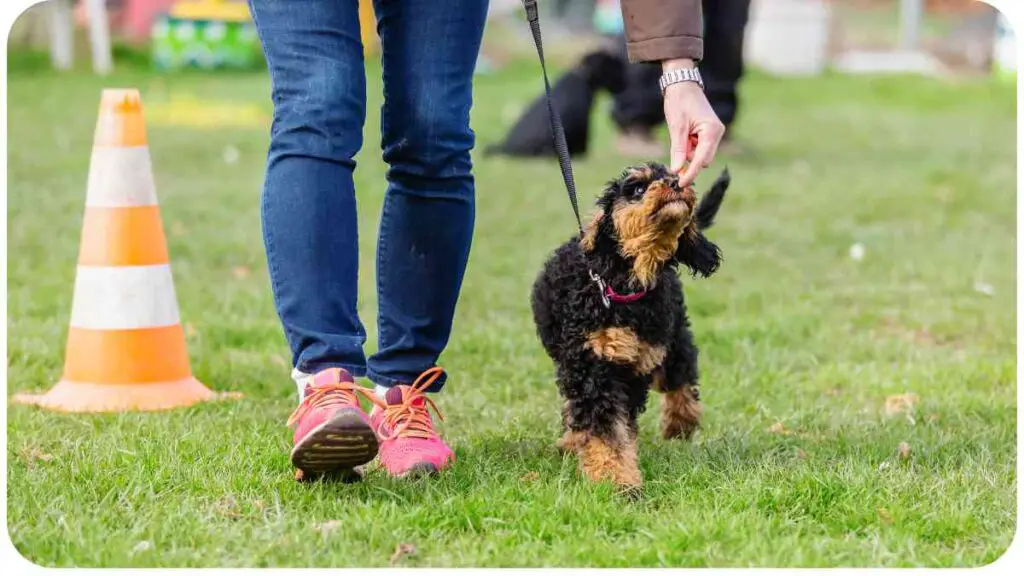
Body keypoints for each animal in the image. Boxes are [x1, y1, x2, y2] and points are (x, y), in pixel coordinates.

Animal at [532, 162, 724, 487]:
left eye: (672, 175)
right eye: (637, 188)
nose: (676, 182)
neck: (625, 288)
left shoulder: (637, 363)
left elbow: (619, 425)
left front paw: (616, 477)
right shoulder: (592, 363)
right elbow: (604, 428)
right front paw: (616, 480)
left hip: (673, 336)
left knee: (681, 376)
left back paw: (680, 424)